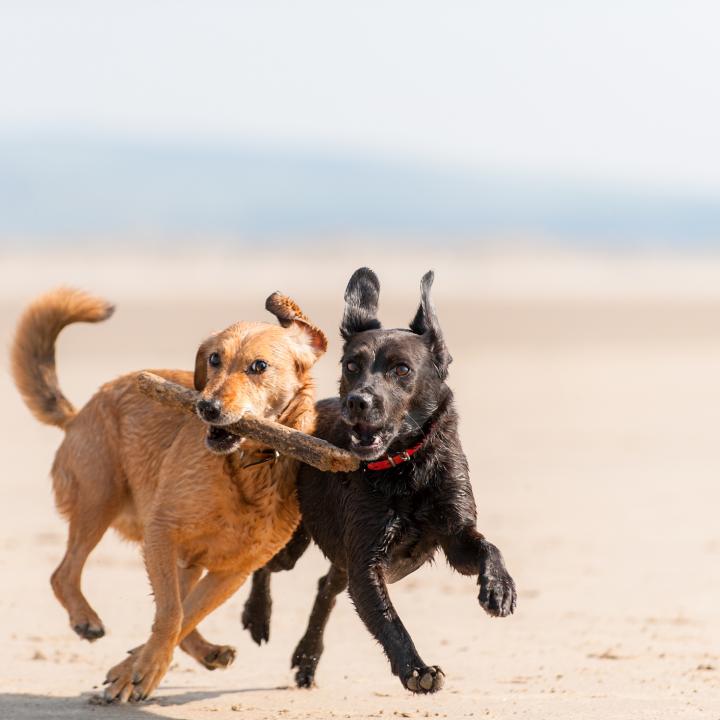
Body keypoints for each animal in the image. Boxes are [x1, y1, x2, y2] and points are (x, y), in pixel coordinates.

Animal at [10, 288, 326, 704]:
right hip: (99, 501)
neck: (247, 468)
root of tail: (77, 414)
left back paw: (204, 652)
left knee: (172, 602)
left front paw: (135, 669)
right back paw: (86, 619)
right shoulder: (161, 534)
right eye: (214, 359)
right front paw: (143, 669)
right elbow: (172, 615)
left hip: (183, 560)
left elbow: (185, 614)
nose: (206, 407)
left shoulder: (233, 571)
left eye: (258, 366)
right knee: (63, 573)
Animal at [243, 268, 516, 692]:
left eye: (401, 369)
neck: (406, 465)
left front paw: (499, 588)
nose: (358, 401)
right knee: (269, 565)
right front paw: (416, 670)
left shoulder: (455, 536)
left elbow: (488, 547)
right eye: (351, 366)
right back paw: (258, 616)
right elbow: (390, 621)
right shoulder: (366, 561)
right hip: (297, 542)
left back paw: (306, 659)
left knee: (325, 588)